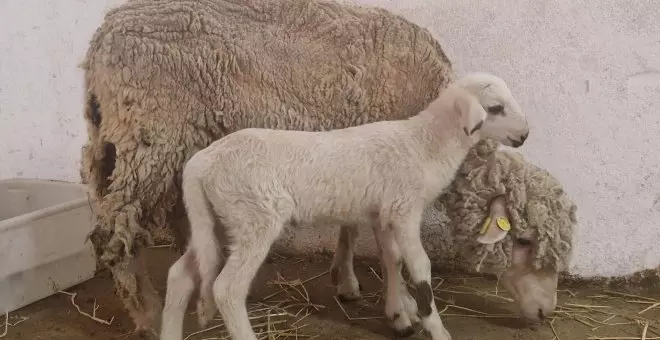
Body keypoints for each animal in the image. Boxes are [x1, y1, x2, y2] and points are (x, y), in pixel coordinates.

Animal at [80, 0, 456, 332]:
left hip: (116, 144)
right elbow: (387, 247)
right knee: (114, 233)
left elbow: (350, 226)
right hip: (151, 138)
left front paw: (347, 280)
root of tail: (101, 38)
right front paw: (402, 307)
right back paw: (147, 313)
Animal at [161, 73, 532, 340]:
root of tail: (201, 164)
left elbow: (392, 260)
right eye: (495, 108)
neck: (424, 144)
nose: (526, 135)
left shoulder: (382, 212)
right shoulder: (404, 209)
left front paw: (399, 314)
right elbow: (420, 267)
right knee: (226, 289)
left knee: (181, 274)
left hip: (217, 219)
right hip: (254, 216)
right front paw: (435, 328)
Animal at [332, 137, 576, 326]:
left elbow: (351, 225)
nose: (547, 312)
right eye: (524, 241)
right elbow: (391, 253)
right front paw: (402, 305)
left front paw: (346, 280)